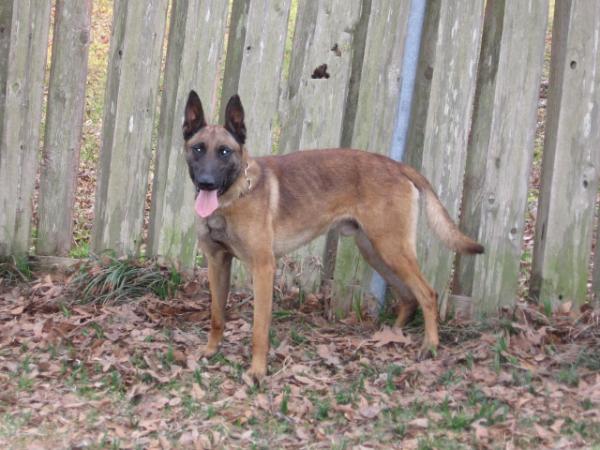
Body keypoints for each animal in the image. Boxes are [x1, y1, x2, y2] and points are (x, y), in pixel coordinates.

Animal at [182, 89, 482, 382]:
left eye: (224, 152)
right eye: (198, 149)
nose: (206, 183)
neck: (232, 197)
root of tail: (397, 165)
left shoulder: (263, 268)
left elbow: (259, 329)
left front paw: (257, 371)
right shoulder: (217, 263)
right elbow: (217, 315)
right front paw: (211, 350)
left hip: (391, 249)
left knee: (427, 294)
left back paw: (430, 345)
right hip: (376, 252)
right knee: (409, 297)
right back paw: (392, 336)